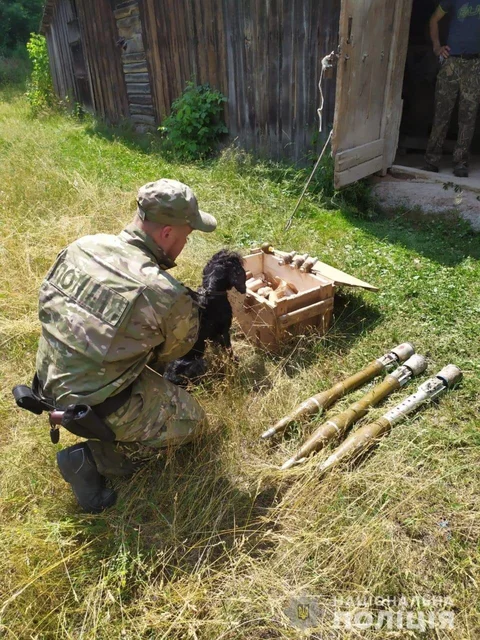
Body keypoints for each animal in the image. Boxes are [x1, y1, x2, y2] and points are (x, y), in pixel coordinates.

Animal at [164, 250, 246, 387]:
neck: (211, 291)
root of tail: (169, 378)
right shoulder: (224, 331)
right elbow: (229, 349)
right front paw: (235, 362)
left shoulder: (215, 335)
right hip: (200, 363)